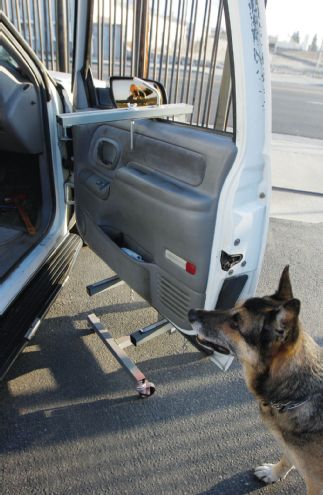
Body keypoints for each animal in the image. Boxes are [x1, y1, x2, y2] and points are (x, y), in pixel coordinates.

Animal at [189, 268, 323, 495]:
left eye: (236, 323)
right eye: (234, 306)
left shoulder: (316, 483)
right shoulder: (291, 449)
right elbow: (287, 457)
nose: (191, 313)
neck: (299, 394)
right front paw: (274, 473)